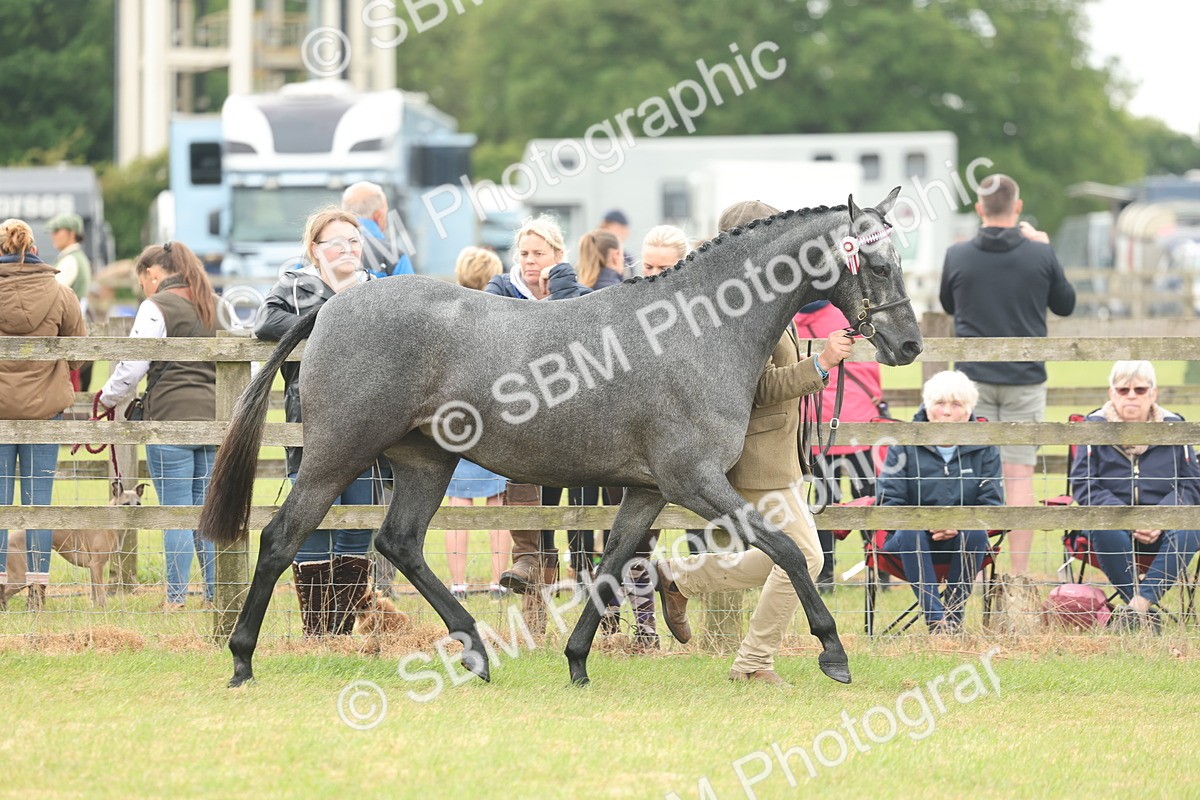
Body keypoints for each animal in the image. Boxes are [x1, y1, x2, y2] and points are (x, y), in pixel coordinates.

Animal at [199, 189, 923, 688]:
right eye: (876, 263)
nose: (909, 345)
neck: (695, 329)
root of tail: (332, 305)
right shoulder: (694, 481)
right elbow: (791, 552)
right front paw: (834, 653)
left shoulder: (646, 491)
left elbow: (612, 567)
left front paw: (577, 661)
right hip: (335, 455)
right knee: (282, 539)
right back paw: (241, 661)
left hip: (426, 462)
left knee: (398, 543)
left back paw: (475, 652)